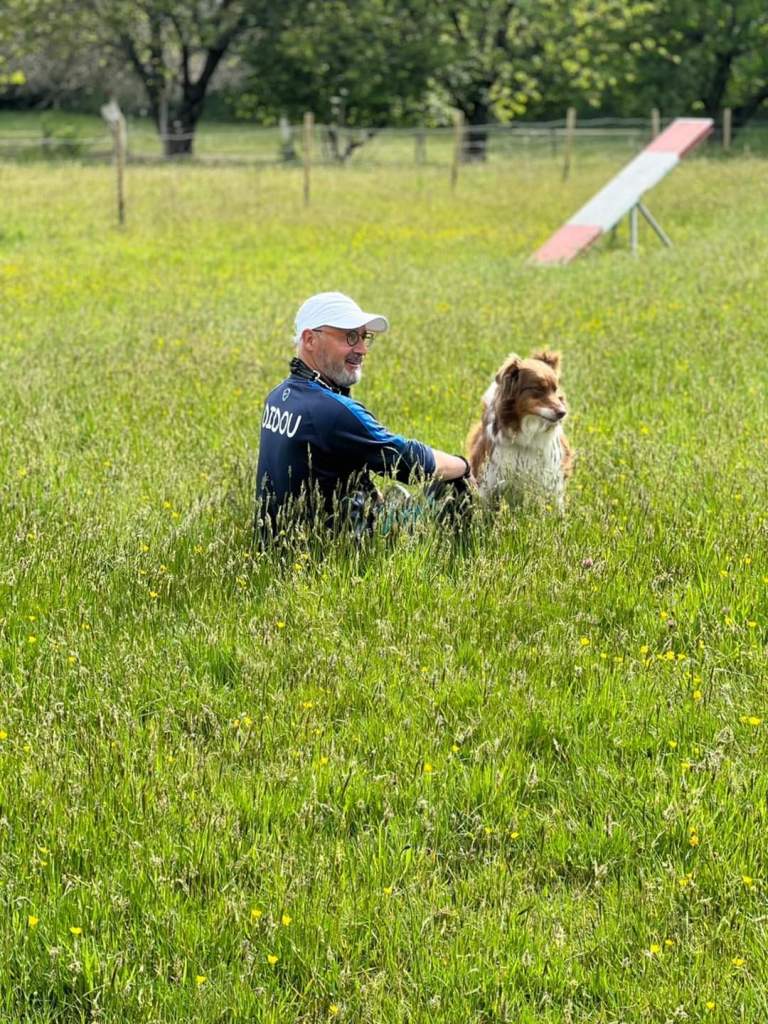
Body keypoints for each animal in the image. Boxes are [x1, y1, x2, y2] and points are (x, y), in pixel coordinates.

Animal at [466, 350, 573, 509]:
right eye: (538, 389)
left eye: (555, 390)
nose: (563, 413)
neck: (527, 434)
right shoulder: (489, 475)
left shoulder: (550, 475)